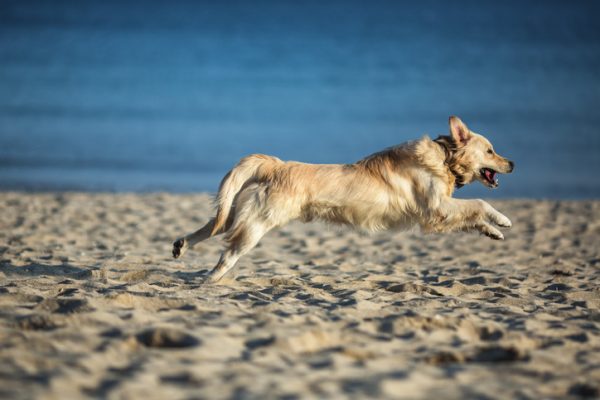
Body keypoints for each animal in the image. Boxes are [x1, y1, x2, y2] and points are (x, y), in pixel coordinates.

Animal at [173, 117, 516, 282]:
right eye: (490, 151)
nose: (513, 163)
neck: (445, 158)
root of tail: (276, 165)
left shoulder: (440, 217)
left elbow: (471, 215)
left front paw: (492, 231)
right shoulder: (436, 209)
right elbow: (479, 205)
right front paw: (502, 219)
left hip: (237, 212)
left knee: (210, 227)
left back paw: (181, 246)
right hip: (257, 224)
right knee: (227, 253)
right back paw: (209, 281)